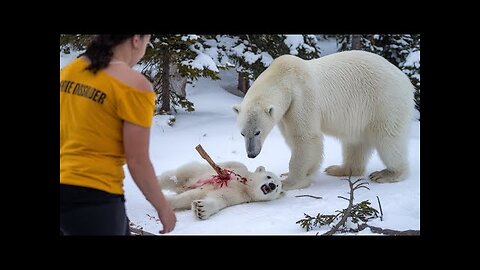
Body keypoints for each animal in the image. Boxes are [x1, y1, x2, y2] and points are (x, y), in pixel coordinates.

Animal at [234, 50, 414, 190]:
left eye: (257, 132)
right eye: (242, 133)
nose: (251, 154)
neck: (284, 77)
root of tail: (406, 80)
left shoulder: (302, 98)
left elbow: (306, 138)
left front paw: (289, 181)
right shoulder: (286, 112)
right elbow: (293, 138)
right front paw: (297, 172)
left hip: (385, 102)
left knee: (388, 138)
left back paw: (387, 174)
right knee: (355, 142)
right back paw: (339, 169)